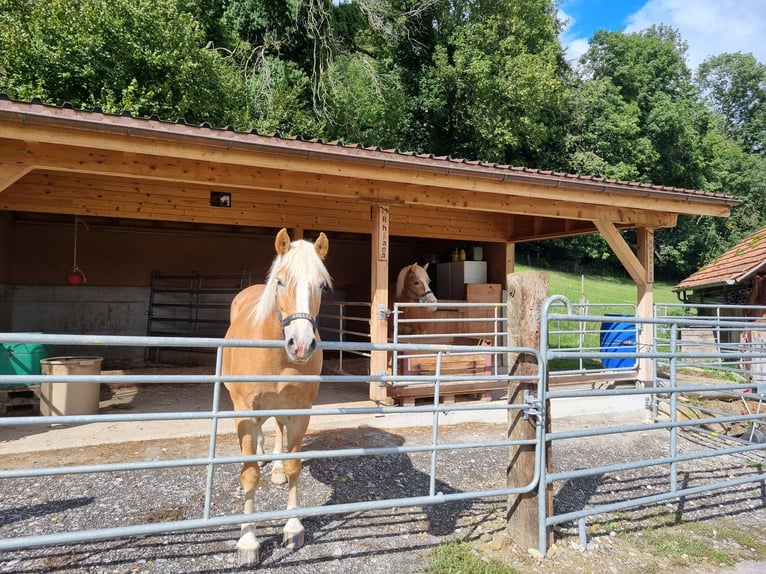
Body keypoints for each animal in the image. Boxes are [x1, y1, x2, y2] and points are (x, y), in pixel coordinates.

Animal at [222, 228, 330, 568]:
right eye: (280, 281)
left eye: (321, 285)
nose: (302, 344)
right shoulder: (245, 410)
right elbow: (249, 475)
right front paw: (247, 542)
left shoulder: (301, 410)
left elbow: (295, 465)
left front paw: (293, 528)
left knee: (279, 431)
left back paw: (277, 470)